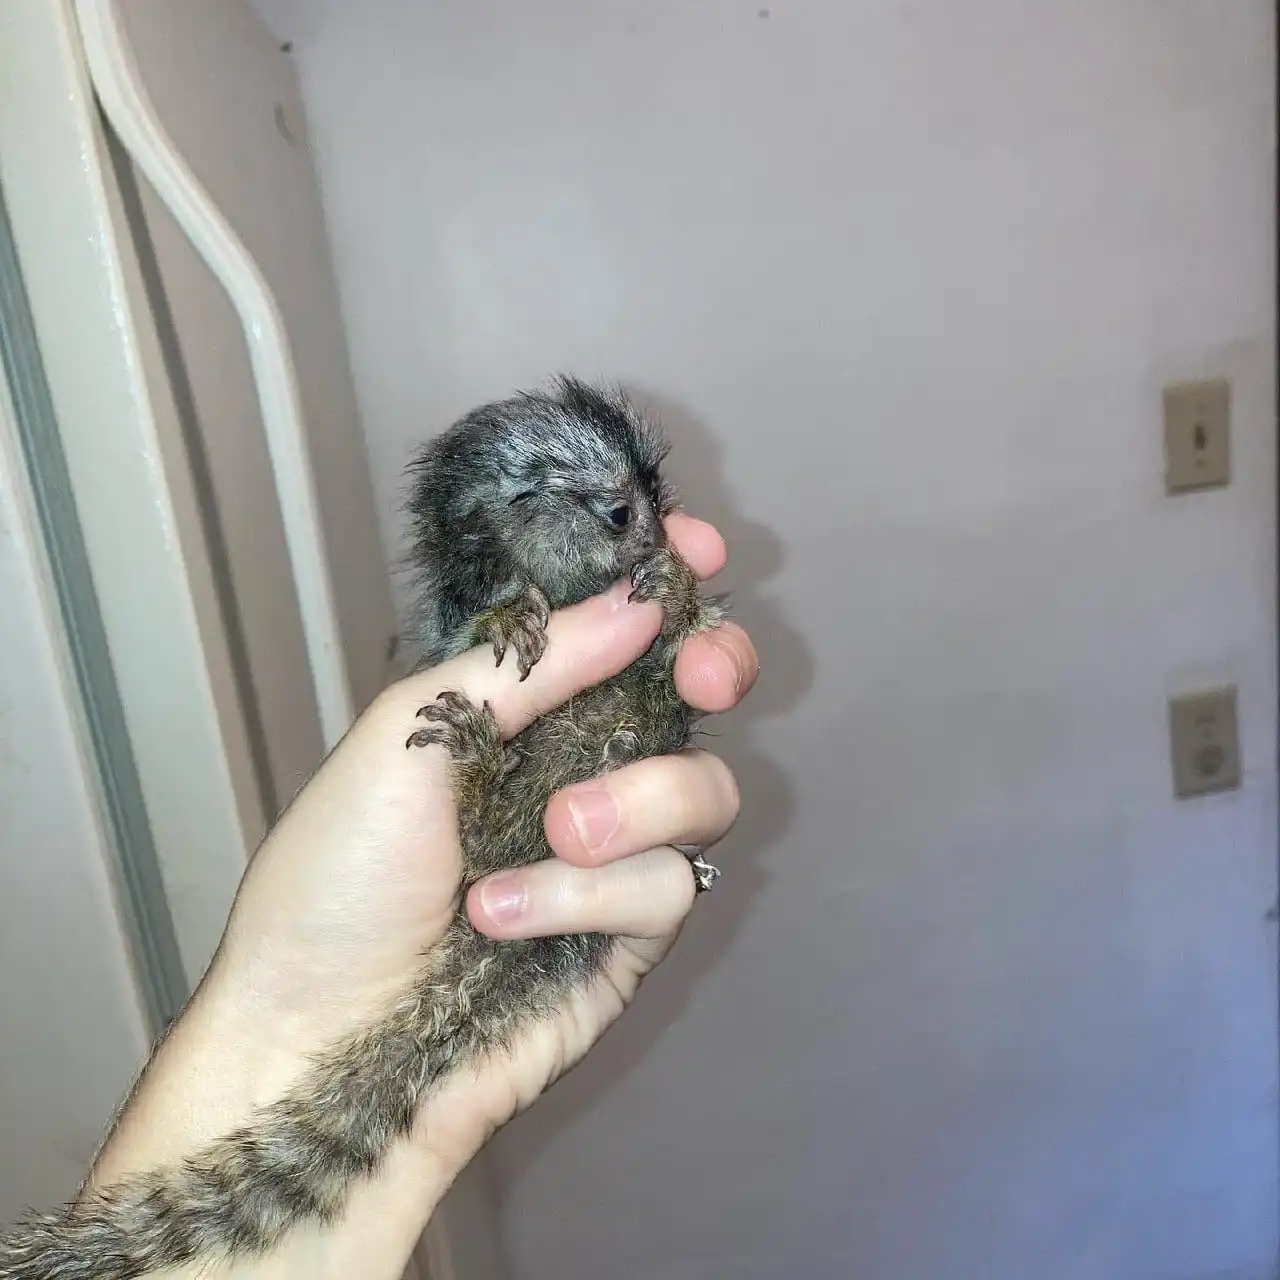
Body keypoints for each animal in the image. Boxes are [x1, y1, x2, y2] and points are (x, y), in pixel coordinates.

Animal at [0, 377, 729, 1278]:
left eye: (658, 506)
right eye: (622, 512)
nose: (658, 534)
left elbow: (676, 657)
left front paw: (676, 587)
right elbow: (479, 626)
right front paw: (504, 618)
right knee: (492, 843)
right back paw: (480, 782)